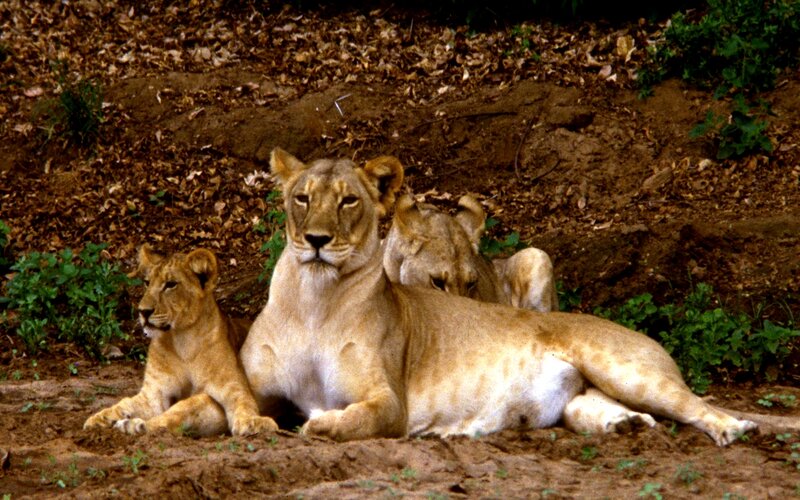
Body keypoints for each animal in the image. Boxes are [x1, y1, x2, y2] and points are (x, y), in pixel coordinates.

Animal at [83, 245, 277, 437]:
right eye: (147, 282)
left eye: (170, 284)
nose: (143, 311)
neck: (183, 341)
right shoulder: (154, 394)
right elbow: (126, 403)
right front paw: (100, 418)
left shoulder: (234, 387)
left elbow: (244, 404)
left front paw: (252, 422)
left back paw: (132, 426)